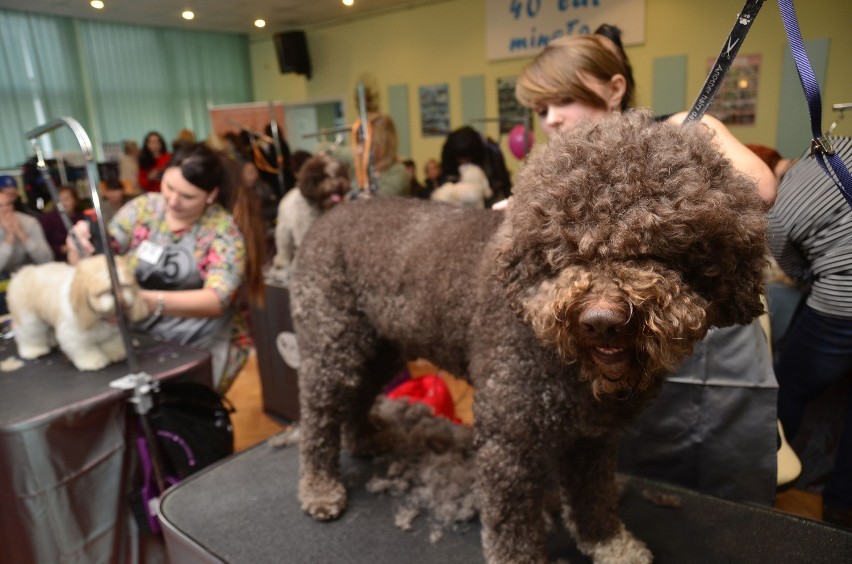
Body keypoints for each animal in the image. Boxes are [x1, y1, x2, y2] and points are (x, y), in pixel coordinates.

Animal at [7, 254, 148, 370]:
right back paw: (34, 351)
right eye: (103, 291)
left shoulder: (113, 331)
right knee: (29, 335)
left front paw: (117, 353)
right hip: (29, 320)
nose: (117, 295)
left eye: (123, 286)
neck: (98, 316)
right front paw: (94, 362)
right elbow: (85, 350)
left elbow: (112, 343)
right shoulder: (74, 335)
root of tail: (21, 273)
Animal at [290, 111, 768, 564]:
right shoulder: (509, 436)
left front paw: (610, 544)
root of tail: (327, 217)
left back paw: (363, 440)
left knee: (357, 393)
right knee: (317, 414)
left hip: (378, 346)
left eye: (660, 249)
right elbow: (512, 521)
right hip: (332, 341)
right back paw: (319, 487)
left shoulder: (592, 439)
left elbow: (593, 501)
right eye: (567, 249)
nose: (601, 320)